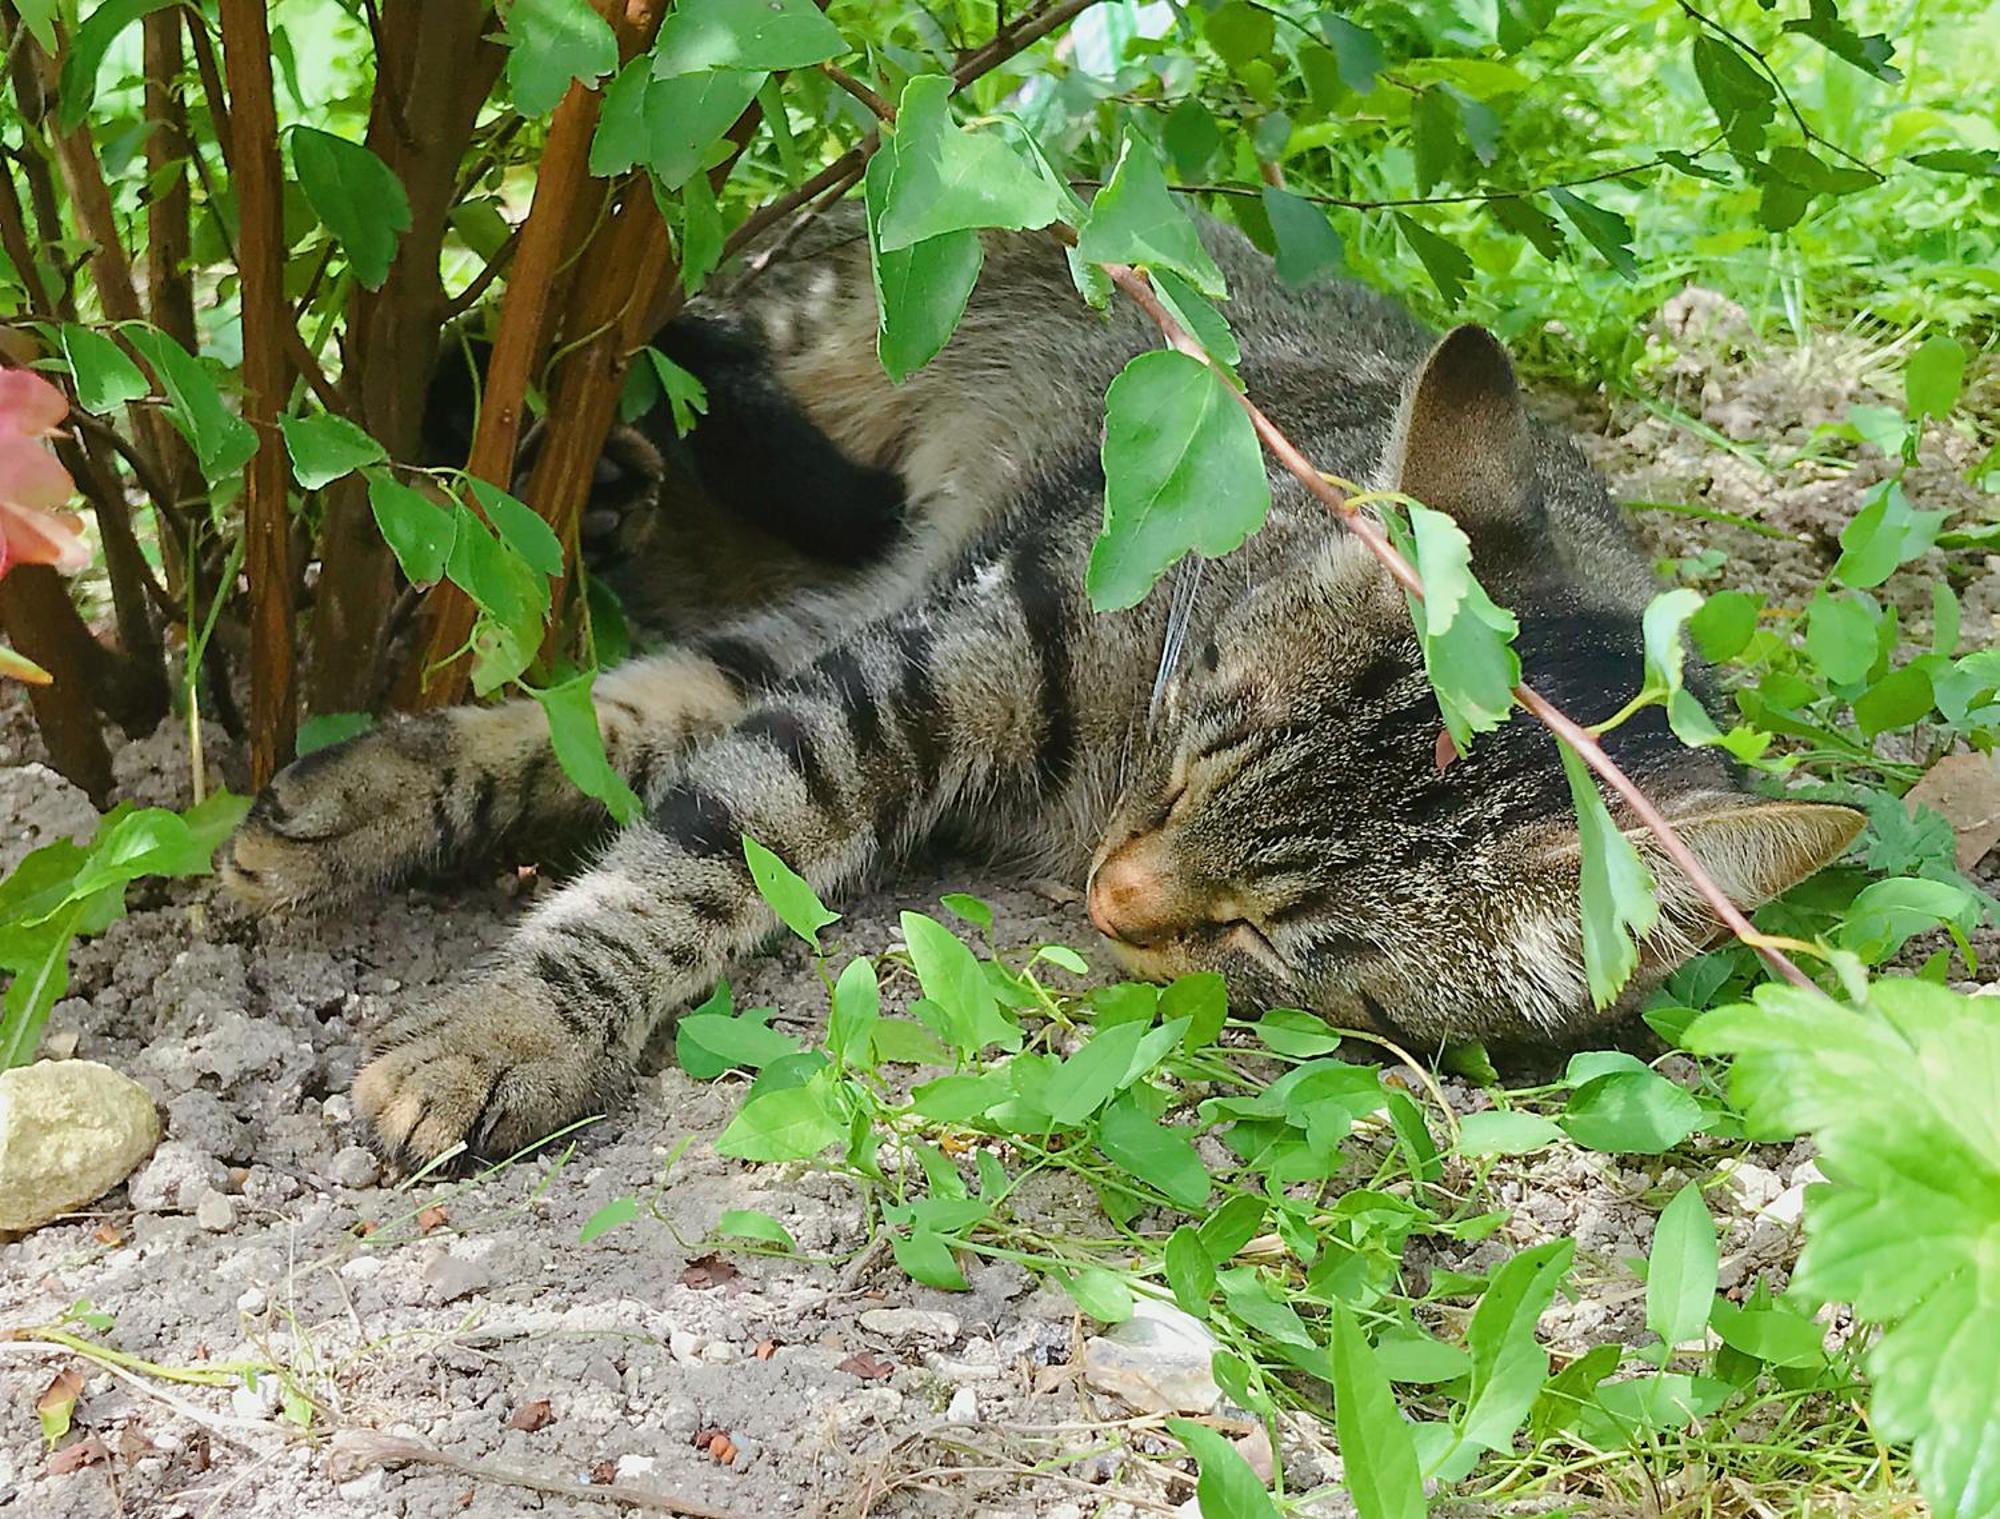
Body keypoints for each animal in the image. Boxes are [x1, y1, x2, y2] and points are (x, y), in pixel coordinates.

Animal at [219, 210, 1856, 1159]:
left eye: (1281, 940)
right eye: (1200, 731)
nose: (1114, 896)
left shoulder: (867, 632)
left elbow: (629, 736)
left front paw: (368, 810)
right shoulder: (927, 653)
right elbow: (689, 846)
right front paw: (508, 1028)